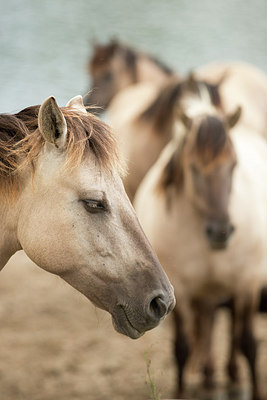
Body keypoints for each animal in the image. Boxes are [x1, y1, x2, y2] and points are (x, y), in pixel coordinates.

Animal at [135, 104, 267, 400]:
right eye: (194, 169)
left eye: (233, 166)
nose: (221, 231)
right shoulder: (180, 292)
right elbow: (182, 349)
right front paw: (183, 391)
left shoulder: (246, 283)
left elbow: (249, 344)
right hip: (204, 295)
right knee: (206, 328)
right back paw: (209, 377)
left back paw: (231, 377)